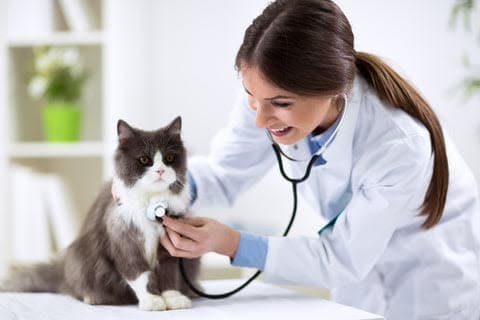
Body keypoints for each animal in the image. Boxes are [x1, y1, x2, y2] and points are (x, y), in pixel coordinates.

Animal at [0, 116, 201, 312]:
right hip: (83, 260)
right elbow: (140, 274)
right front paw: (152, 300)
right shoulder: (125, 242)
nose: (160, 170)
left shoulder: (170, 246)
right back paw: (93, 297)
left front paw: (173, 298)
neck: (152, 202)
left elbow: (169, 273)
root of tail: (62, 270)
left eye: (169, 158)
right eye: (144, 159)